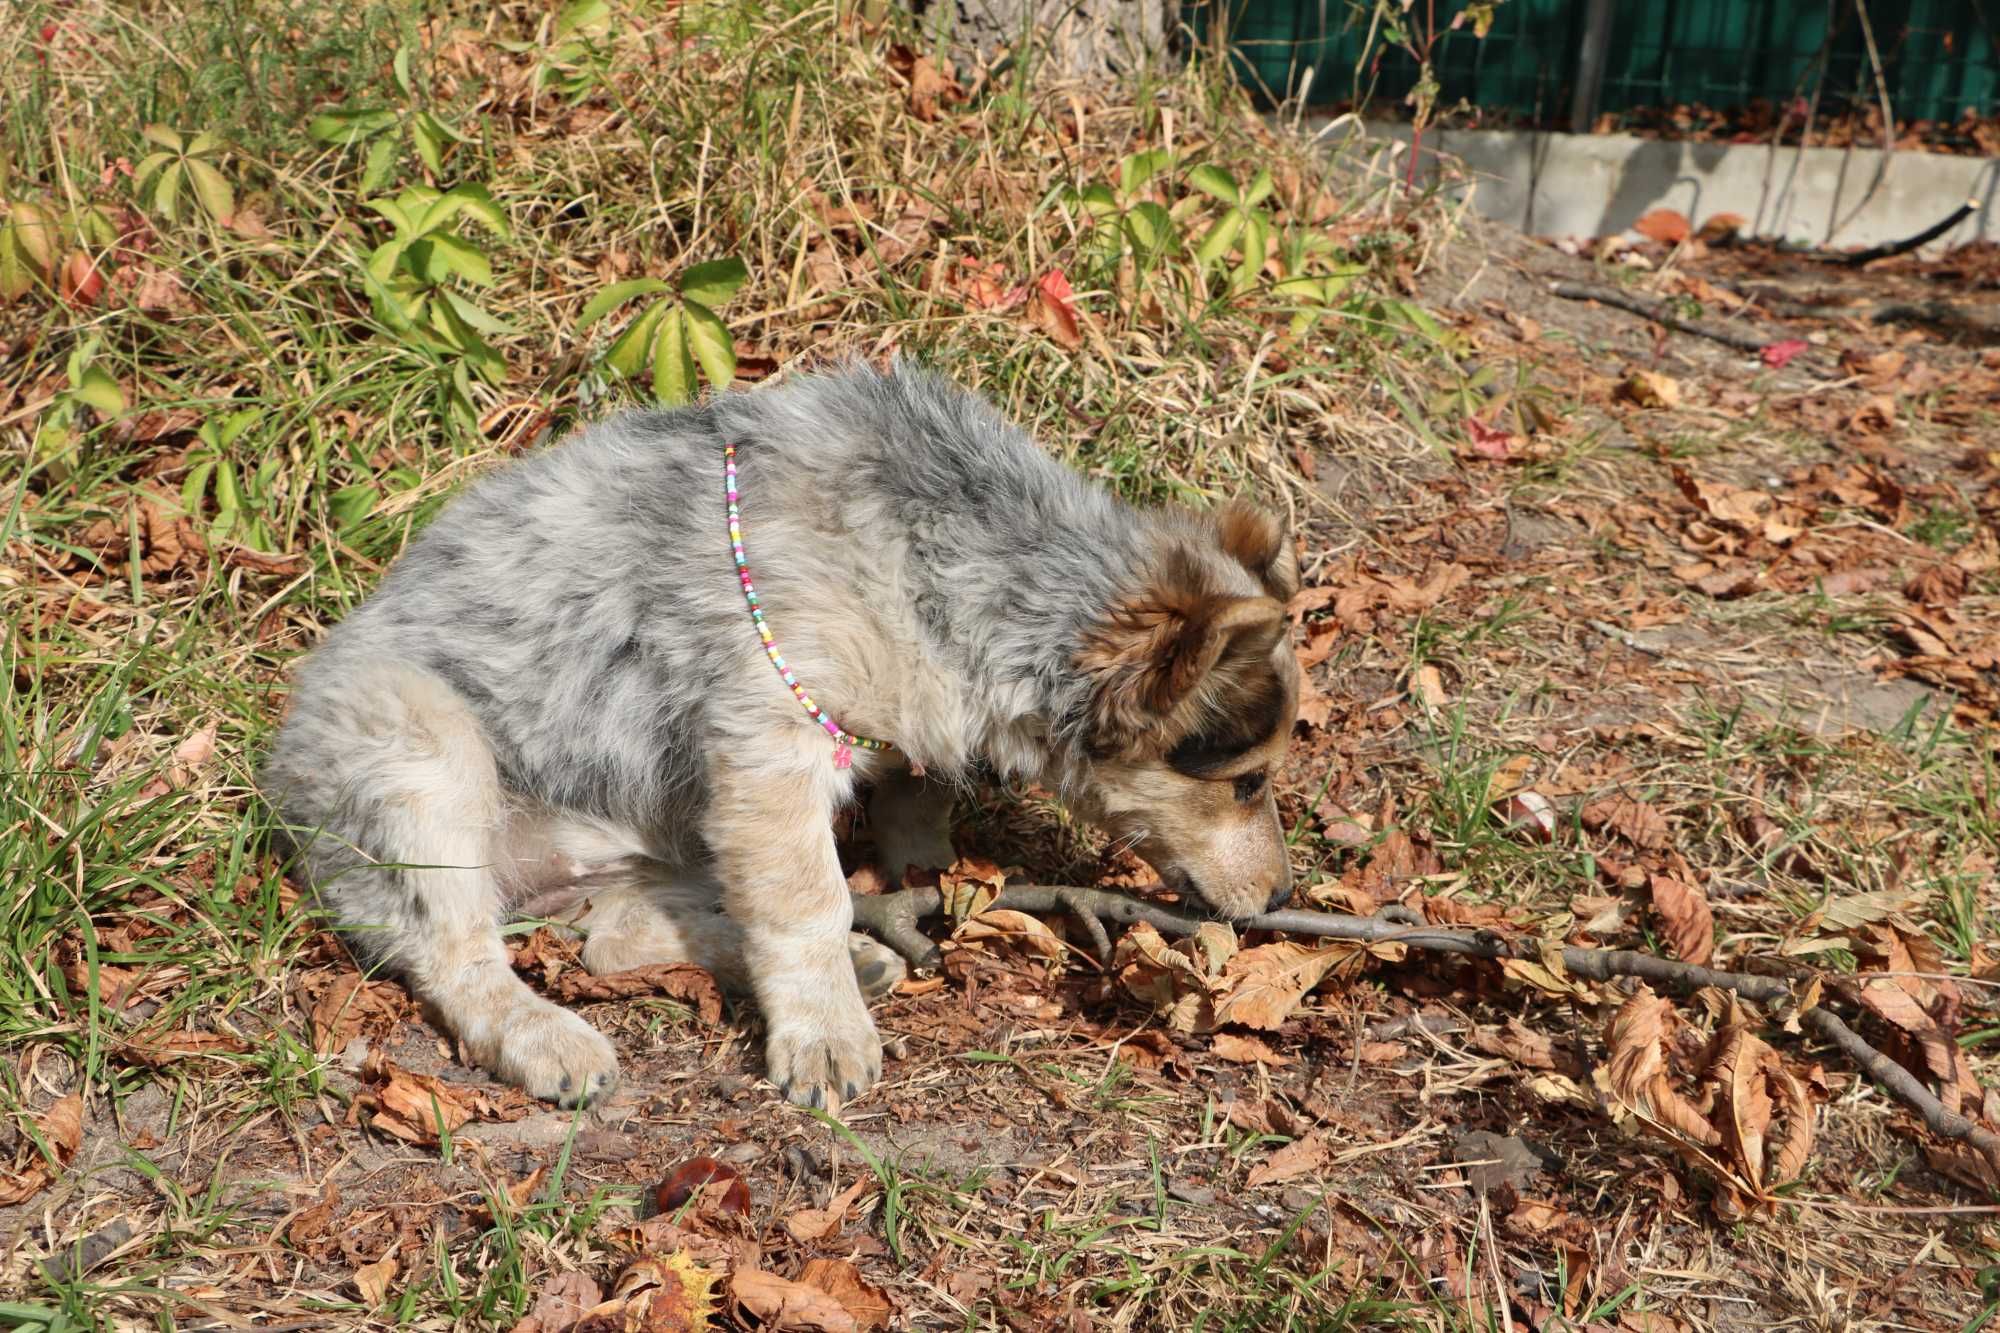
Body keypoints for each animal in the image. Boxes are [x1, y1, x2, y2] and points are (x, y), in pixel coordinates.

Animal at [262, 358, 1296, 1104]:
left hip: (662, 843)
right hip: (425, 757)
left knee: (613, 940)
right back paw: (550, 1037)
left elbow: (911, 793)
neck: (965, 559)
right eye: (1246, 782)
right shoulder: (772, 751)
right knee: (460, 956)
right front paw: (825, 1038)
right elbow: (807, 902)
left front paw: (921, 870)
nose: (1284, 895)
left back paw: (855, 958)